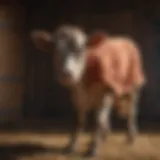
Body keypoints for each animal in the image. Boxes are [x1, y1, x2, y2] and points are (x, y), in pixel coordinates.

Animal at [30, 25, 146, 157]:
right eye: (56, 52)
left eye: (80, 50)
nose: (66, 74)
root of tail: (125, 38)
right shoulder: (77, 96)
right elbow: (79, 120)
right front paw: (71, 146)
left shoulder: (103, 93)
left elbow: (97, 121)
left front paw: (93, 148)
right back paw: (104, 135)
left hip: (133, 86)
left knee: (132, 111)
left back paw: (131, 136)